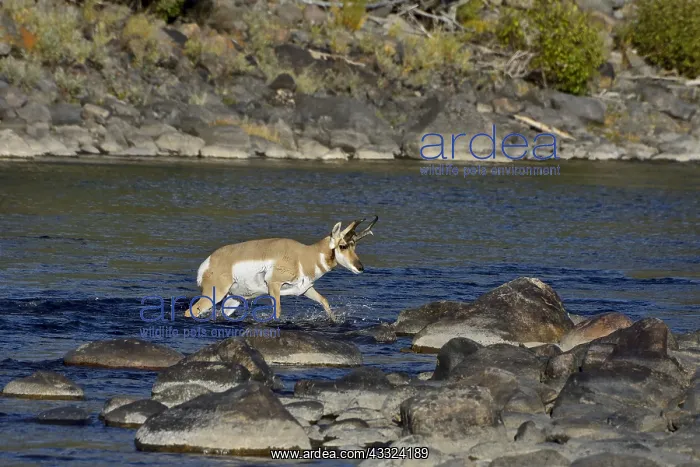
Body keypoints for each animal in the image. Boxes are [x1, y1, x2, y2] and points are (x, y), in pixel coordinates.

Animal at [188, 216, 378, 322]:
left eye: (355, 245)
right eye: (343, 246)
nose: (360, 268)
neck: (303, 255)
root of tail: (208, 262)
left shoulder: (305, 289)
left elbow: (324, 301)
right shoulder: (274, 285)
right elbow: (278, 311)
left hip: (233, 299)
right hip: (216, 293)